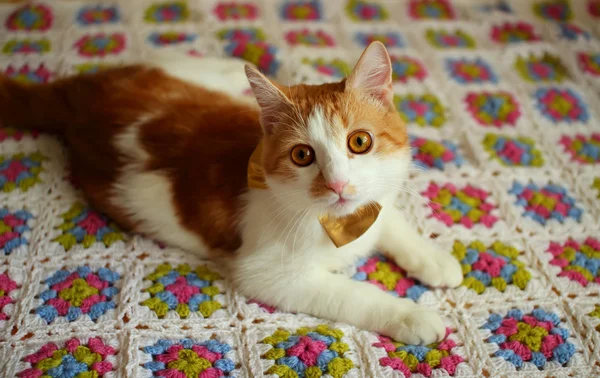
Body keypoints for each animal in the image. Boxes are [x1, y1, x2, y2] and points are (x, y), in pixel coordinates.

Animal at [0, 42, 462, 346]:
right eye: (302, 155)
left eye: (360, 142)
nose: (337, 184)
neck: (334, 222)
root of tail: (77, 97)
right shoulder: (268, 274)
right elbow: (352, 294)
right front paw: (411, 315)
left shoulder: (372, 200)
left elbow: (389, 219)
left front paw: (434, 259)